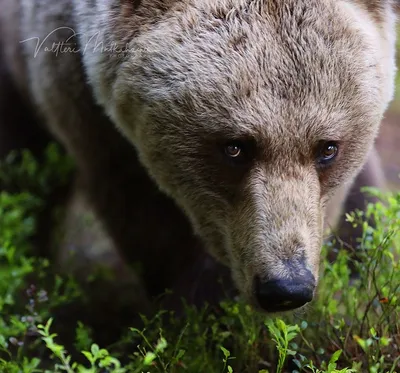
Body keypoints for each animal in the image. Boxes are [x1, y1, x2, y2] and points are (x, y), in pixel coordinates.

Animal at [0, 0, 398, 316]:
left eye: (328, 148)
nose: (286, 287)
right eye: (234, 147)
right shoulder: (88, 110)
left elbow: (358, 201)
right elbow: (147, 223)